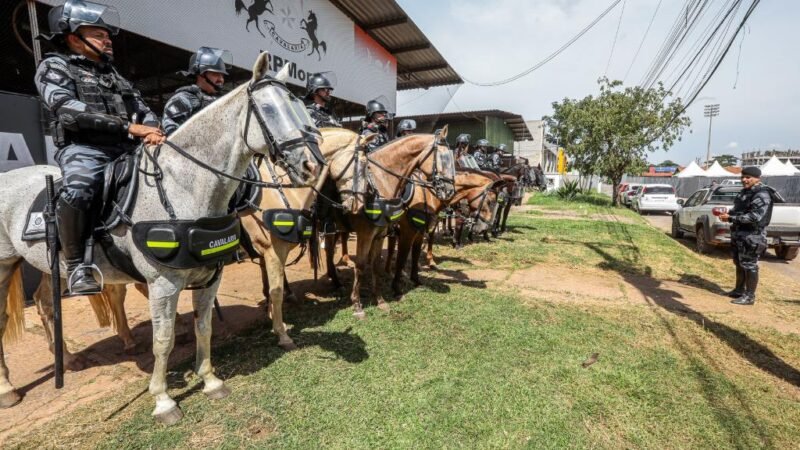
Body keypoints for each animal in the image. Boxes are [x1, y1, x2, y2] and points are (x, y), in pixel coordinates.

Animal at [0, 52, 322, 426]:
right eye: (269, 108)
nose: (312, 165)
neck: (184, 186)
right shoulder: (164, 283)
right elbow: (163, 340)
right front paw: (164, 400)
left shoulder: (211, 275)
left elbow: (203, 326)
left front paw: (210, 380)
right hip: (7, 264)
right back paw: (8, 389)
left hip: (54, 266)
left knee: (45, 303)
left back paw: (66, 357)